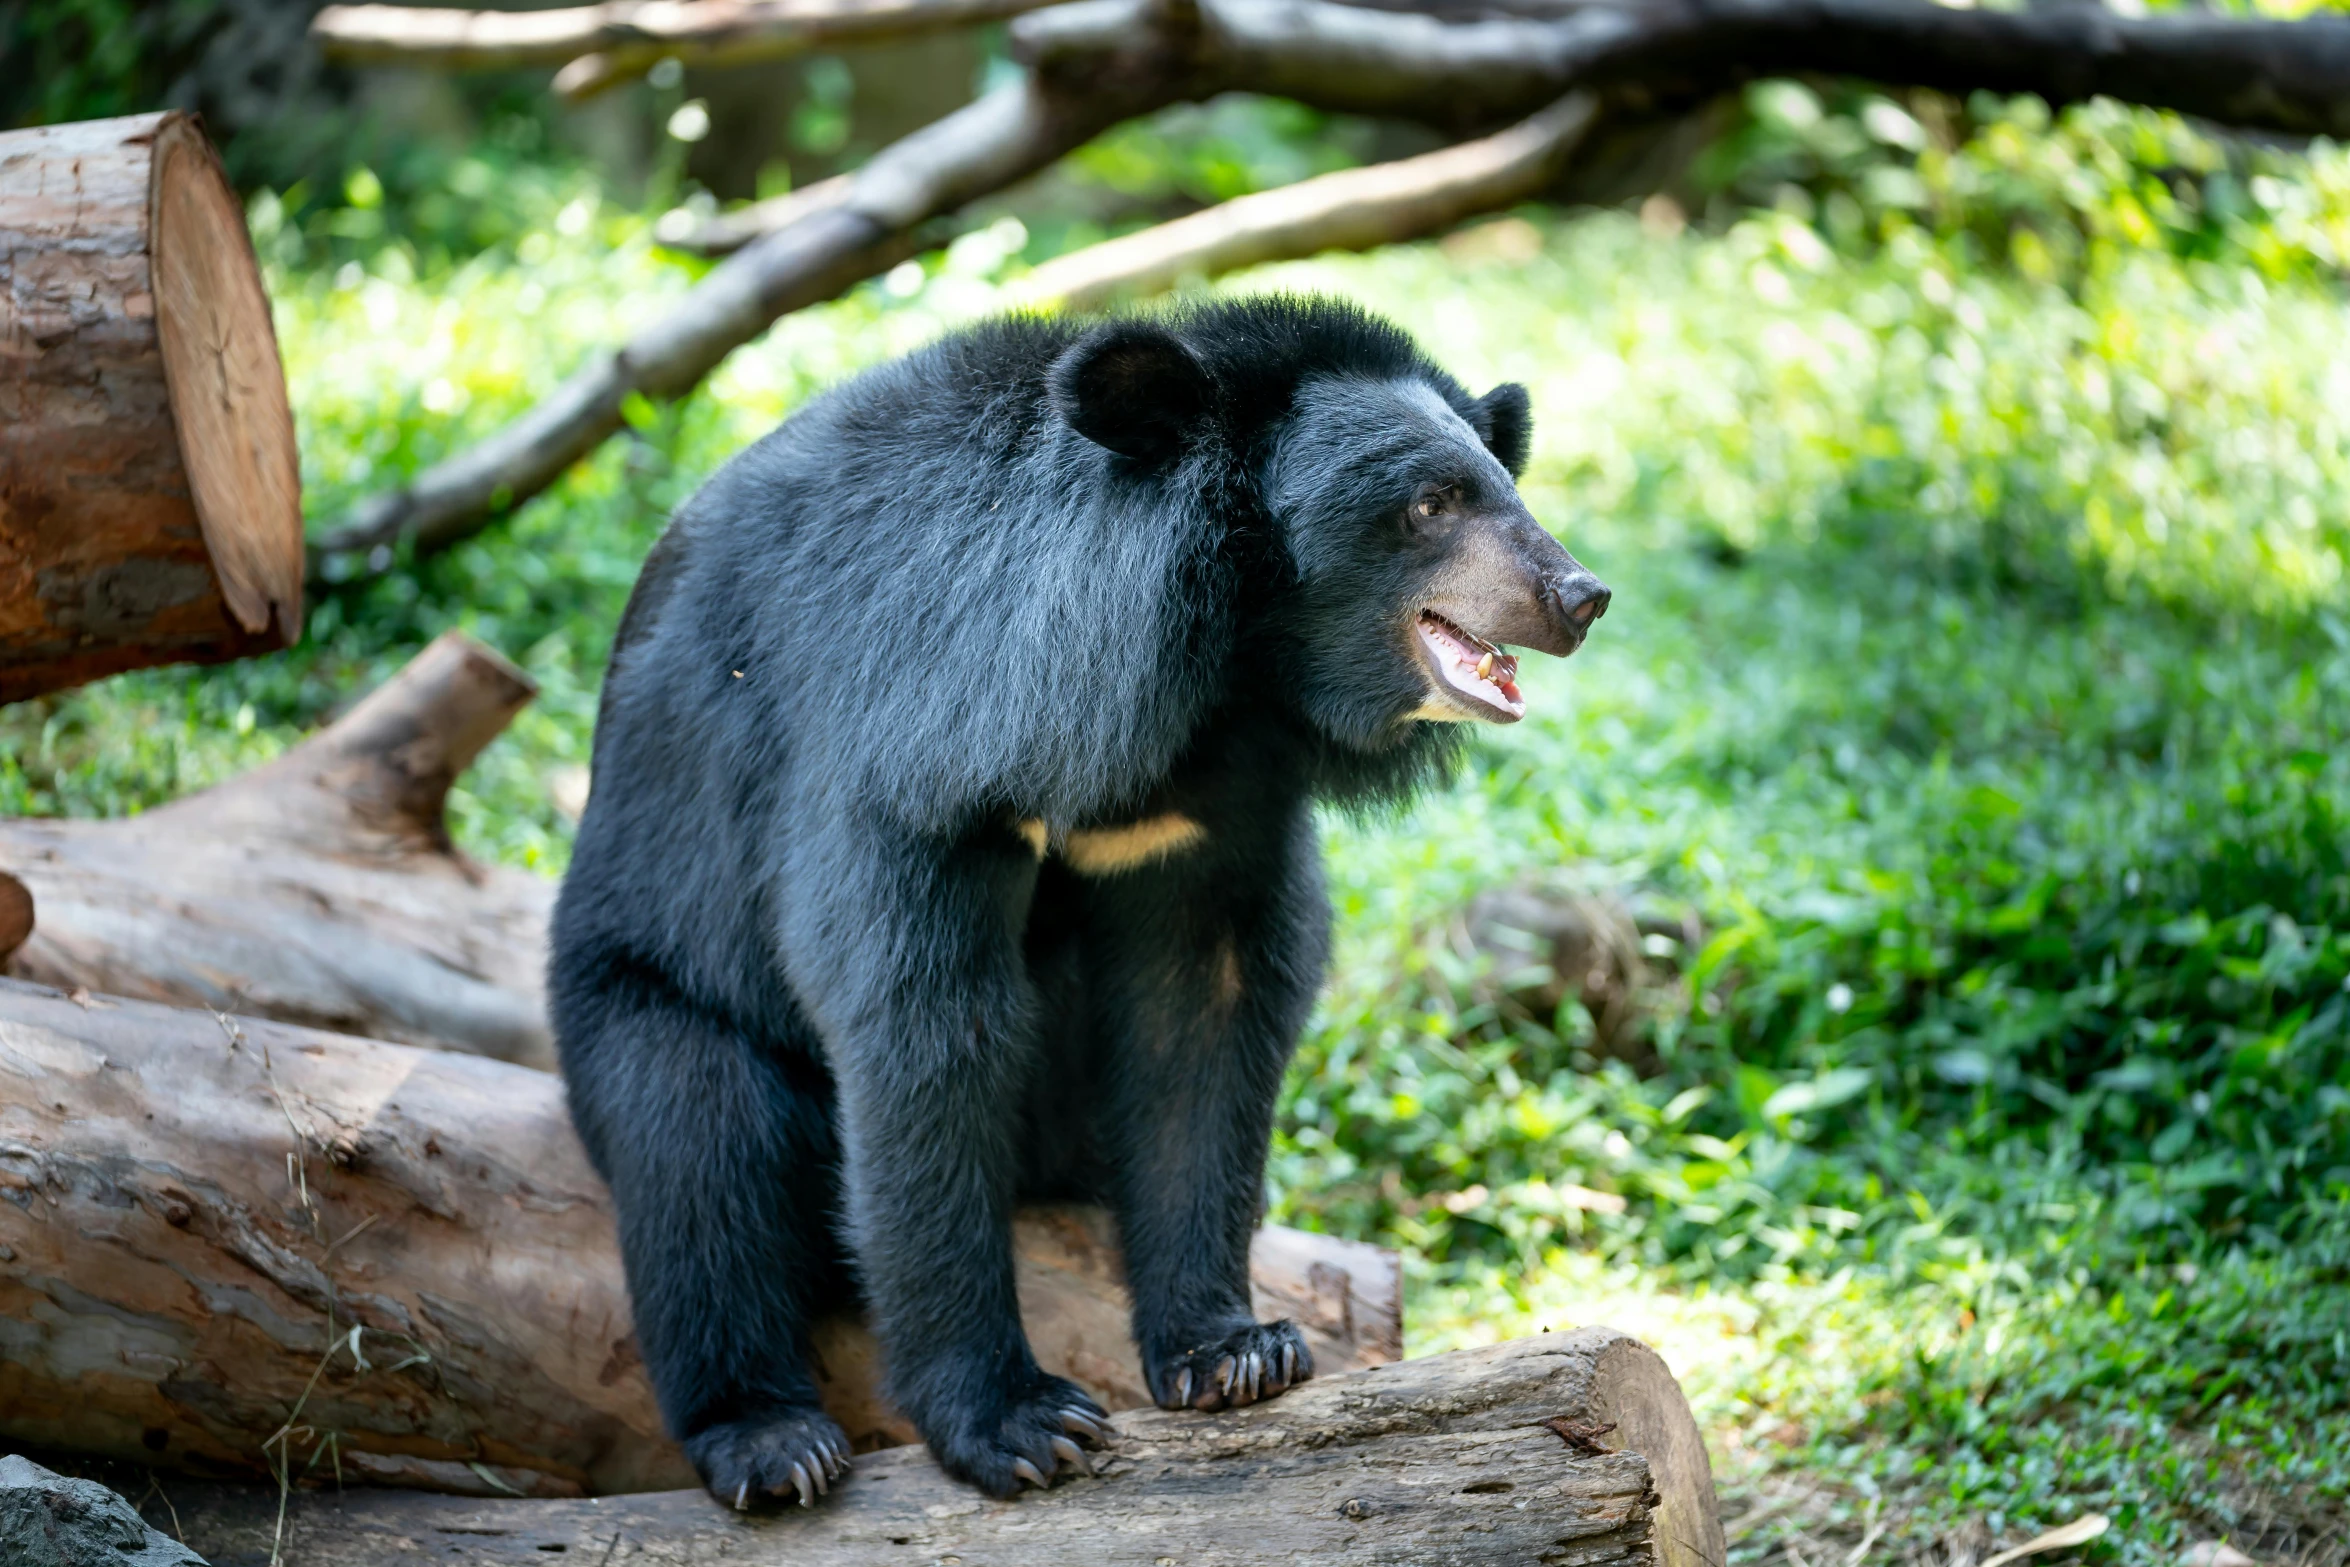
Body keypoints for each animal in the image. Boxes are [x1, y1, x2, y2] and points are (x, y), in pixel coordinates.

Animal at [549, 293, 1616, 1503]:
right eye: (1431, 504)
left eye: (1504, 486)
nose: (1580, 596)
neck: (1211, 670)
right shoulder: (906, 753)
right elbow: (919, 1025)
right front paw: (1018, 1421)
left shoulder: (1212, 807)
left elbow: (1205, 1011)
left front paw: (1232, 1349)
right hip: (640, 976)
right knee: (694, 1146)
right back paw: (773, 1441)